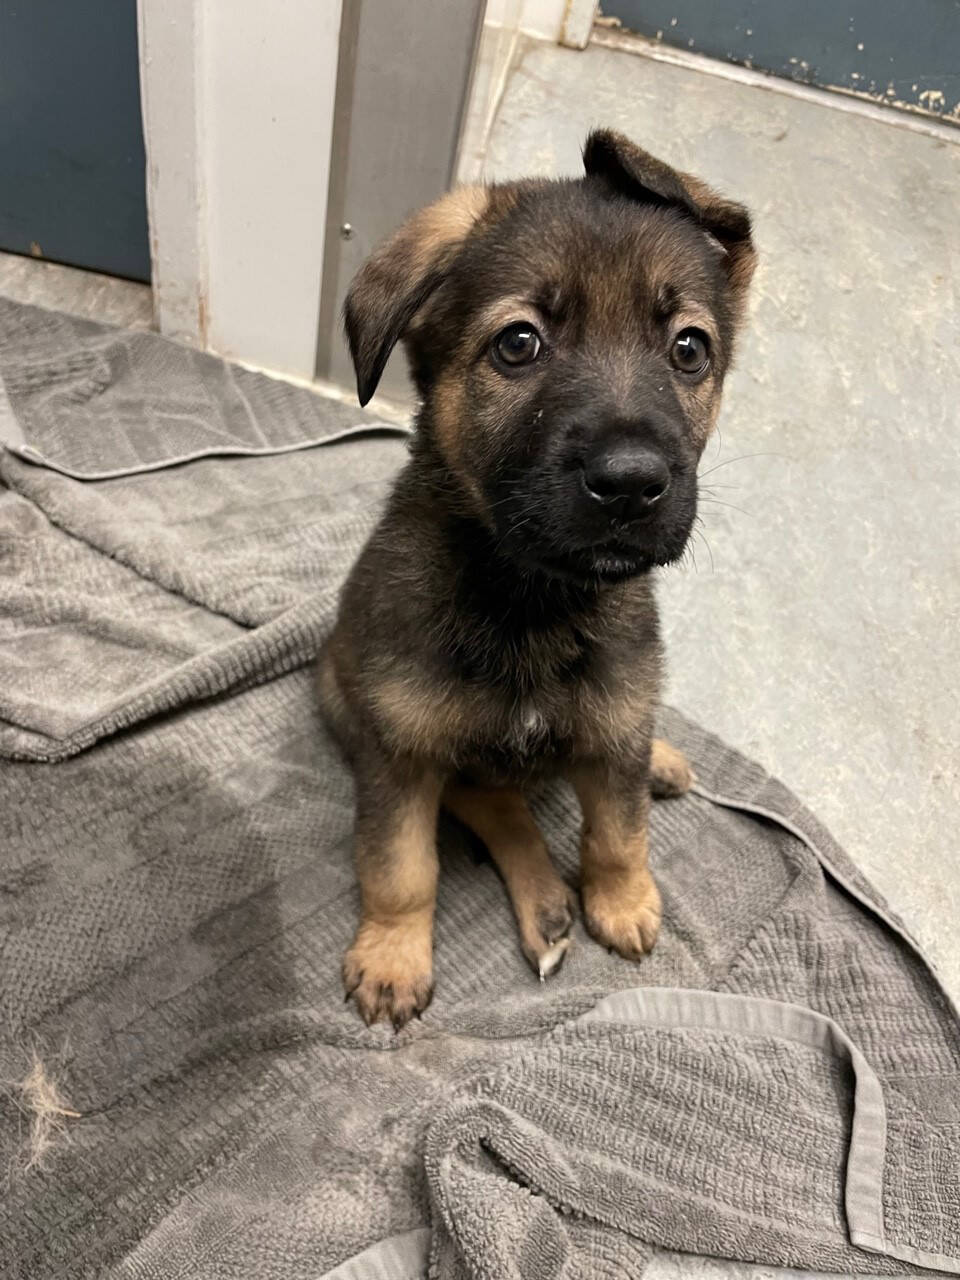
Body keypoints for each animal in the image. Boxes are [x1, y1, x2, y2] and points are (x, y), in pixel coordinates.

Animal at [323, 132, 757, 1029]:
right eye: (518, 343)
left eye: (689, 349)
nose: (631, 486)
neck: (531, 599)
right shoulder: (401, 754)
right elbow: (400, 866)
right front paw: (391, 954)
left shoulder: (615, 720)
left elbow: (619, 830)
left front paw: (623, 899)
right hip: (347, 701)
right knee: (489, 798)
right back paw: (546, 903)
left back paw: (655, 766)